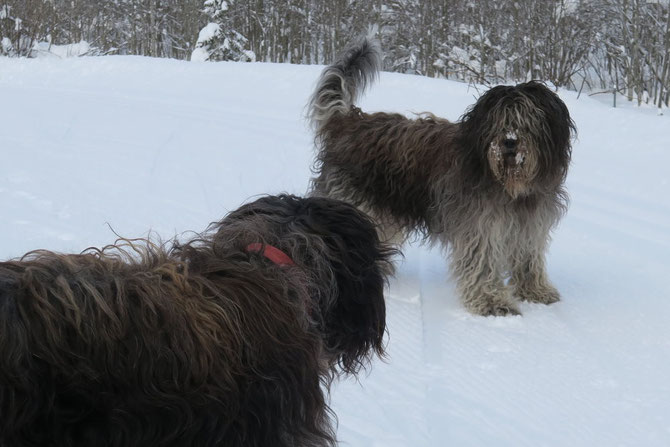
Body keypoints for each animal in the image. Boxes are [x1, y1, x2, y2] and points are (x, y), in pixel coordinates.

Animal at [310, 39, 576, 318]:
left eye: (528, 120)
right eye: (499, 121)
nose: (510, 142)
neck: (510, 186)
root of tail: (346, 122)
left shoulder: (529, 224)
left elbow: (528, 258)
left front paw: (535, 291)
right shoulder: (480, 225)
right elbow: (483, 262)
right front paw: (492, 302)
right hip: (354, 200)